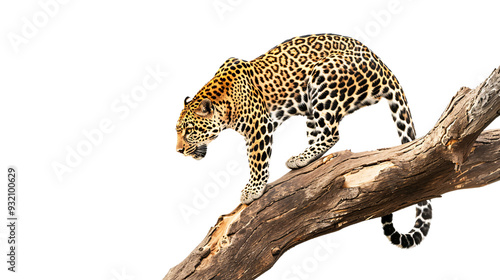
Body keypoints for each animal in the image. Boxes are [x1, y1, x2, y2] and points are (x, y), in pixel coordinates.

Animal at [175, 34, 430, 248]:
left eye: (189, 131)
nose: (178, 151)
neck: (224, 102)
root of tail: (382, 64)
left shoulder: (260, 126)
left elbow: (256, 160)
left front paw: (253, 190)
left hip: (324, 80)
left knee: (332, 133)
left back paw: (299, 158)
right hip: (311, 107)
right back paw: (306, 160)